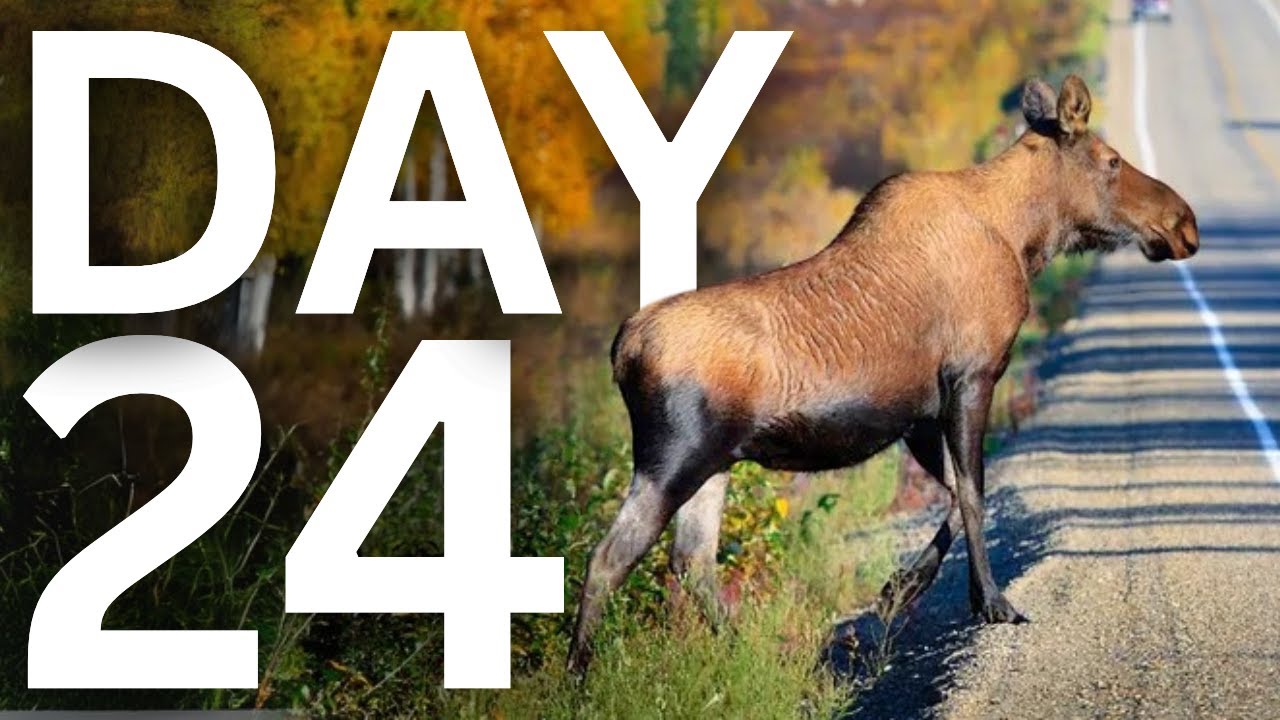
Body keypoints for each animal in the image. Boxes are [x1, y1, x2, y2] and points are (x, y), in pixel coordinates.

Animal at [567, 75, 1199, 674]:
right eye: (1111, 160)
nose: (1184, 223)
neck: (1024, 240)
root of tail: (622, 350)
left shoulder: (919, 413)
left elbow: (957, 494)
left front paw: (900, 589)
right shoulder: (972, 376)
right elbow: (975, 492)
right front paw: (992, 602)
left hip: (715, 463)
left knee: (691, 562)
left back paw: (741, 653)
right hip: (672, 460)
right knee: (607, 559)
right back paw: (578, 678)